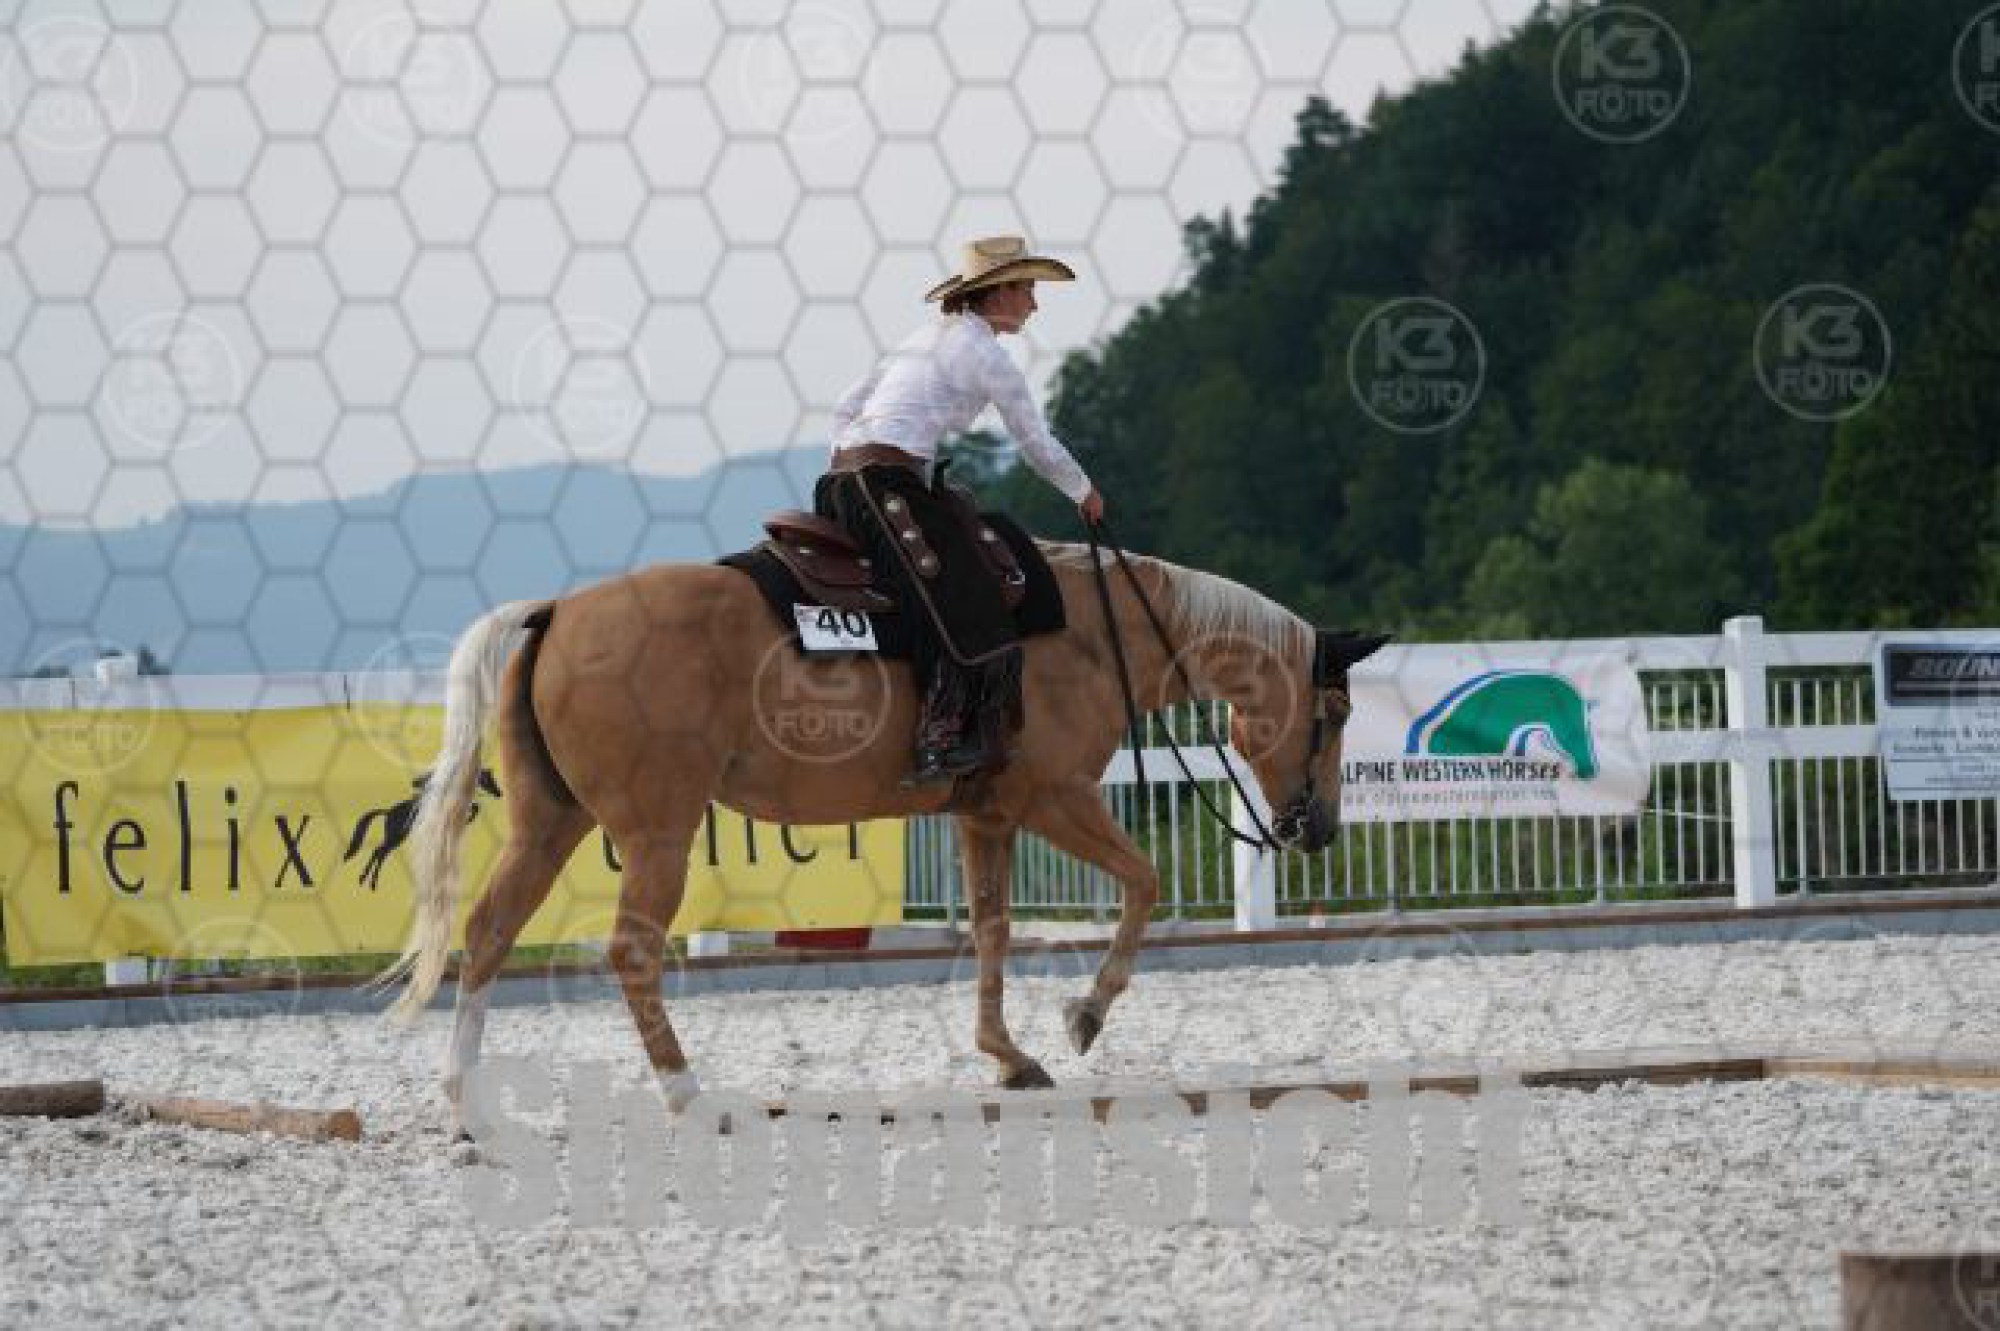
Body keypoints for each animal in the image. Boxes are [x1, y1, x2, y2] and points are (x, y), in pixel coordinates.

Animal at [377, 540, 1384, 1134]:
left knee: (488, 930)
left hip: (551, 820)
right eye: (1334, 712)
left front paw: (1009, 1056)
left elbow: (992, 930)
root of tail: (558, 611)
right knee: (629, 950)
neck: (1098, 630)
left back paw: (465, 1103)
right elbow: (1141, 884)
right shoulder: (1056, 799)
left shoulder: (986, 813)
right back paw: (686, 1090)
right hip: (658, 833)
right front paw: (1084, 1016)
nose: (1318, 828)